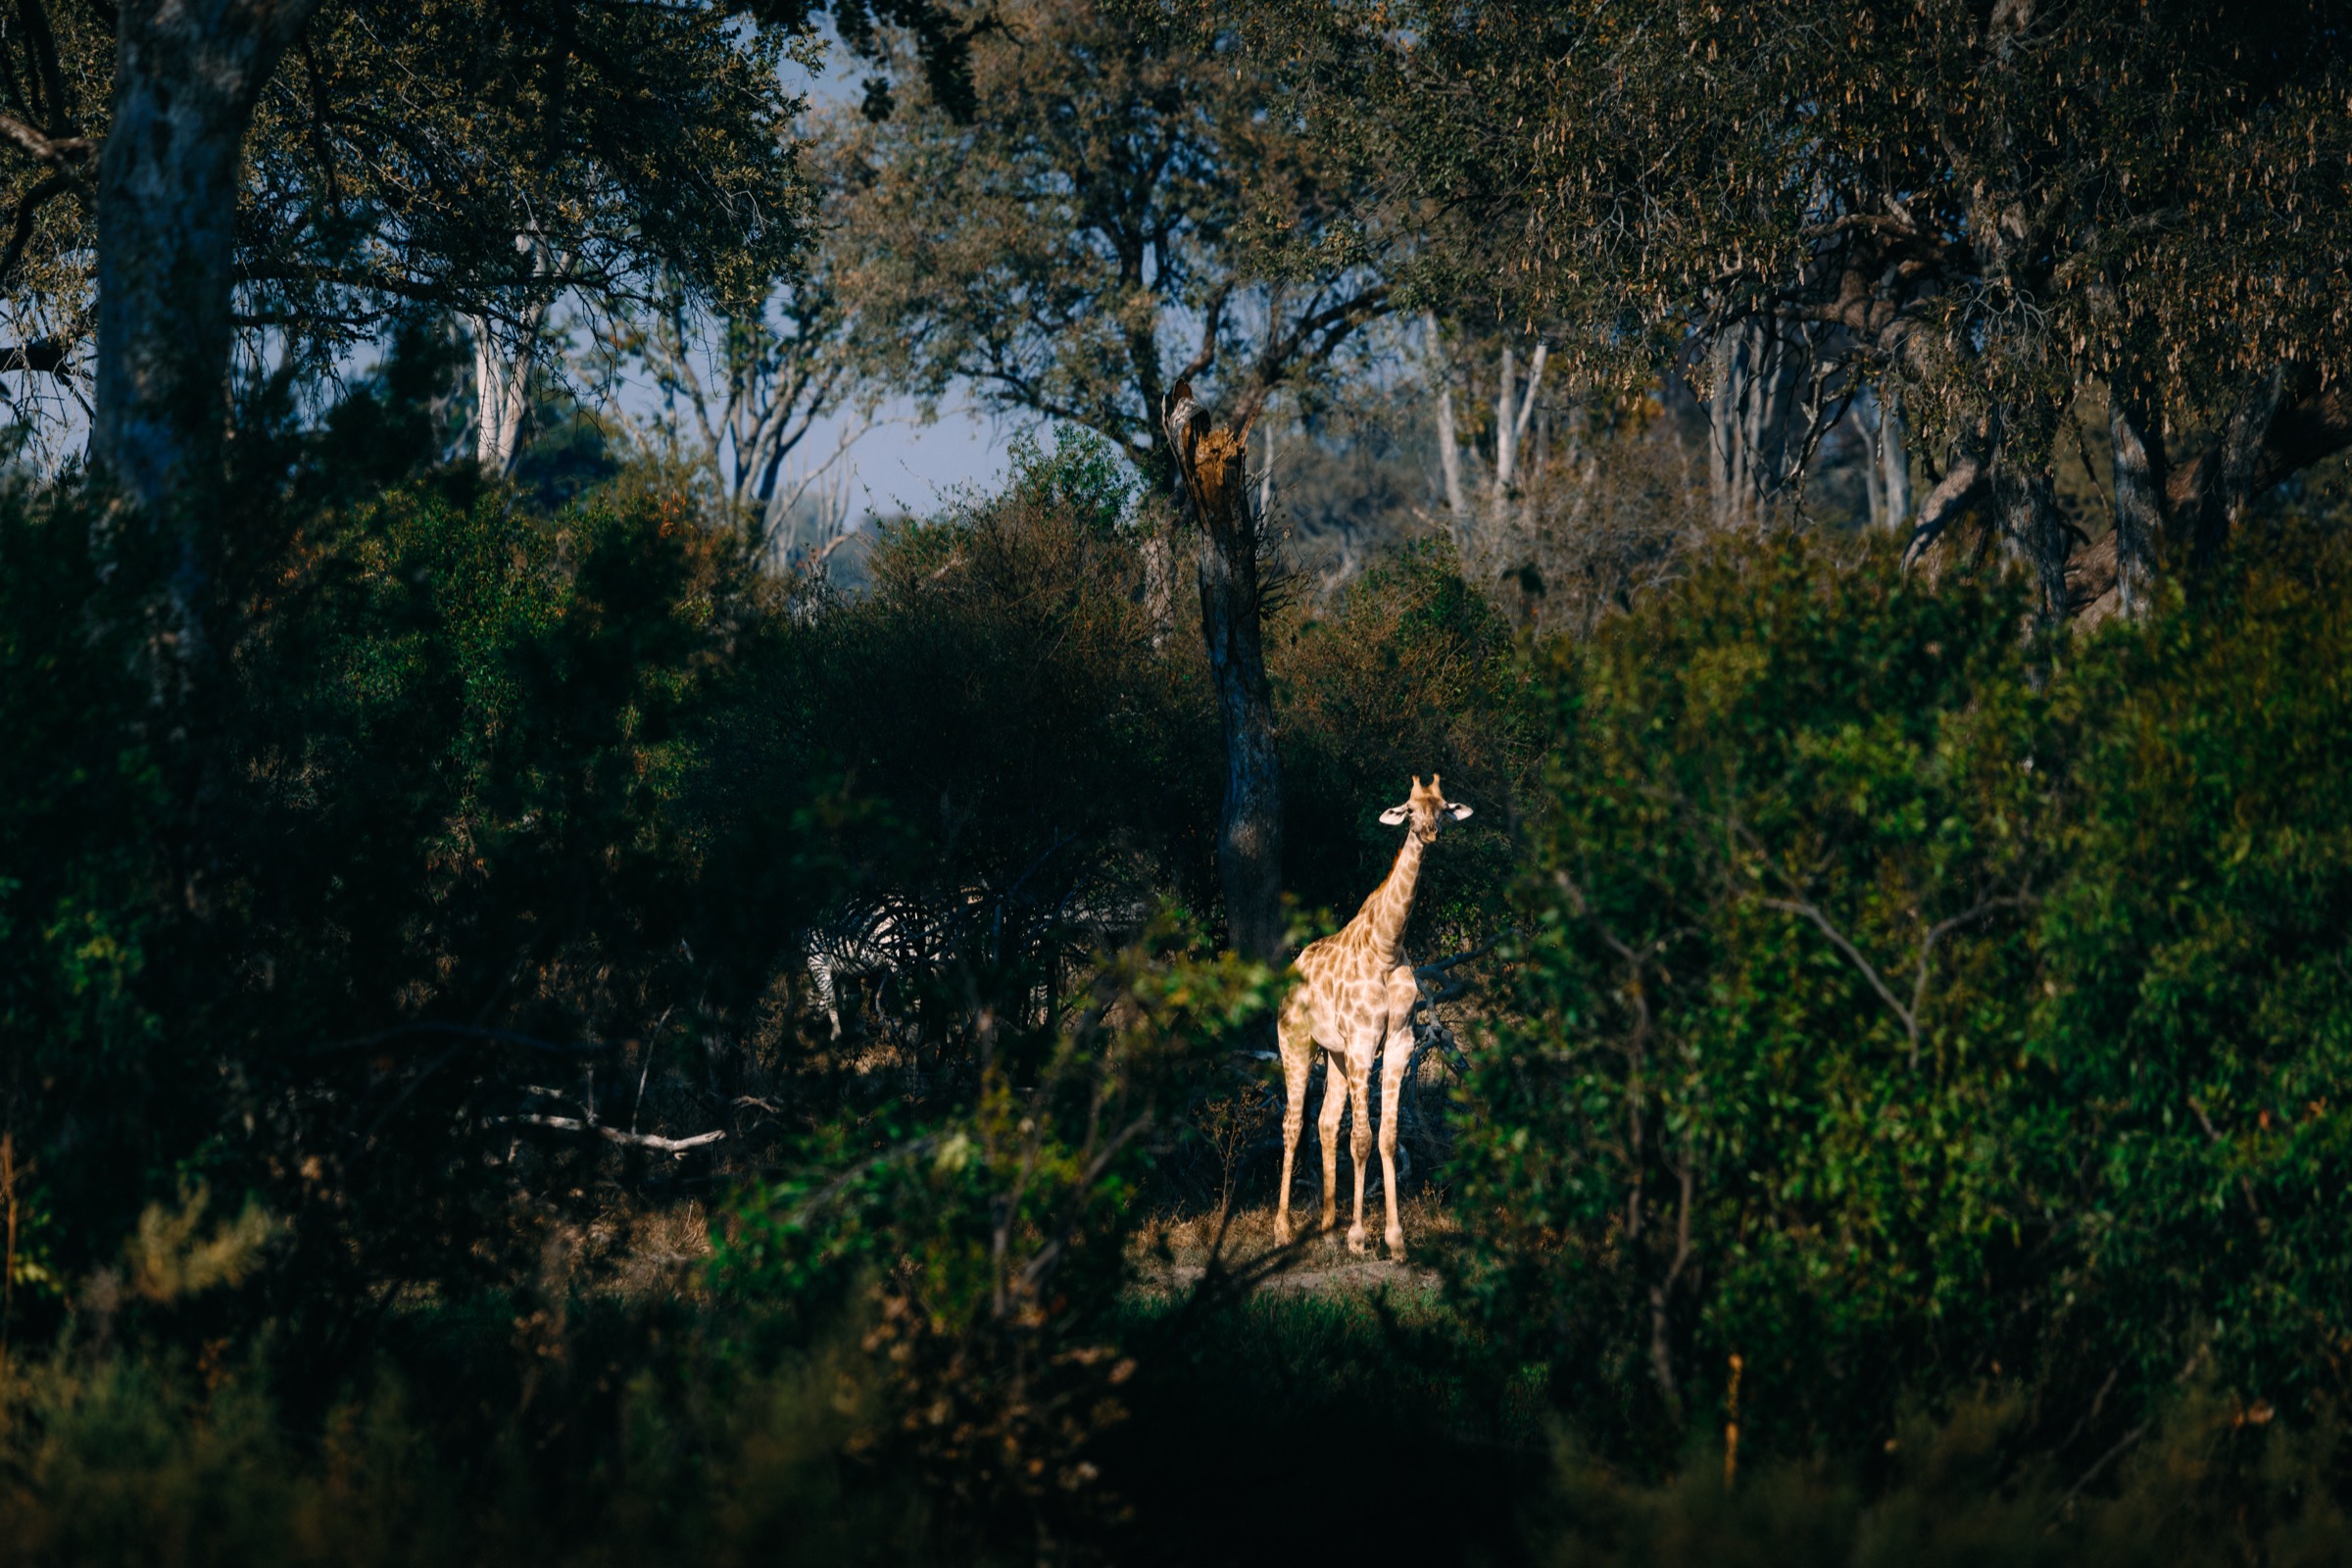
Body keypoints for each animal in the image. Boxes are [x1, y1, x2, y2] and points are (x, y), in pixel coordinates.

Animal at [1274, 775, 1472, 1257]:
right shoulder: (1364, 1042)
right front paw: (1360, 1236)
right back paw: (1284, 1229)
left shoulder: (1398, 1042)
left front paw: (1395, 1239)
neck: (1385, 947)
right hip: (1295, 1042)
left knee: (1325, 1122)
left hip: (1335, 1054)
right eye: (1409, 809)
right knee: (1292, 1124)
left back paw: (1327, 1225)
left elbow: (1387, 1136)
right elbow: (1361, 1139)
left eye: (1443, 808)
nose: (1430, 833)